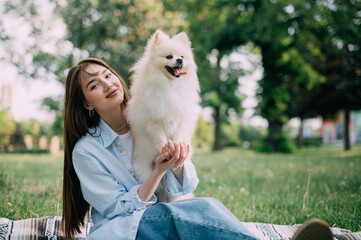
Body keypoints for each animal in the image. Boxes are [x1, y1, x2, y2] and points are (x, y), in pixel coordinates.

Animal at [125, 30, 200, 202]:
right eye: (169, 57)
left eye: (182, 56)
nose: (179, 60)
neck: (170, 85)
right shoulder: (153, 121)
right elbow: (160, 137)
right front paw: (166, 148)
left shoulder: (182, 118)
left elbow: (178, 135)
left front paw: (177, 146)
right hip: (145, 173)